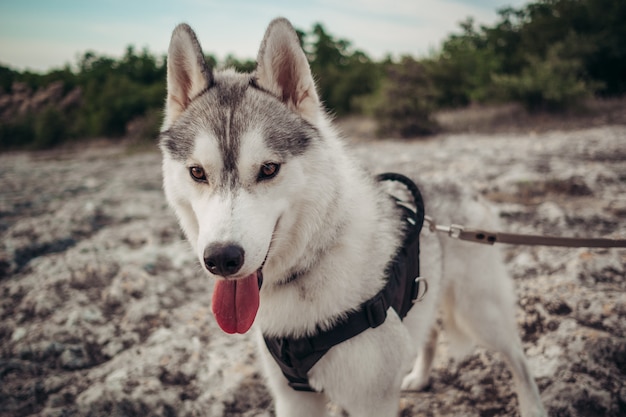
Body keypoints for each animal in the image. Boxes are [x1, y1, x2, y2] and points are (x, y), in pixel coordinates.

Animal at [158, 17, 544, 414]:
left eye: (268, 169)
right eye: (198, 172)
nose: (221, 258)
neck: (310, 263)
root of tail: (462, 189)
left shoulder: (371, 399)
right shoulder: (294, 396)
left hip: (480, 311)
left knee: (518, 358)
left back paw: (532, 405)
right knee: (429, 332)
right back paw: (420, 377)